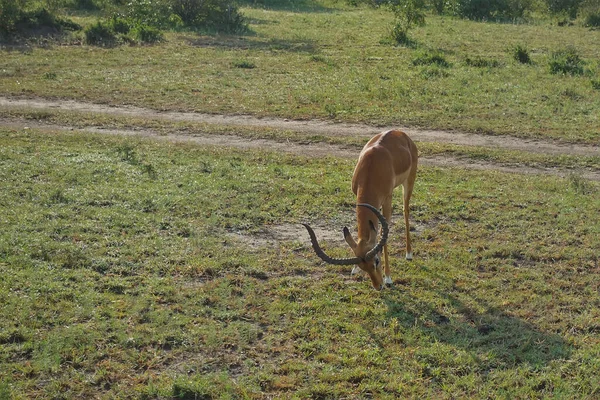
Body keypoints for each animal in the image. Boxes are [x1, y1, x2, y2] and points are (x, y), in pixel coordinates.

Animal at [304, 131, 418, 290]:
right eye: (363, 266)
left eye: (376, 261)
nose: (378, 286)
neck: (372, 167)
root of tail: (402, 134)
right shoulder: (357, 197)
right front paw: (354, 269)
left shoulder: (387, 199)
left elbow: (384, 233)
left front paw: (388, 277)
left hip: (409, 182)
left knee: (405, 210)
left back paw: (409, 253)